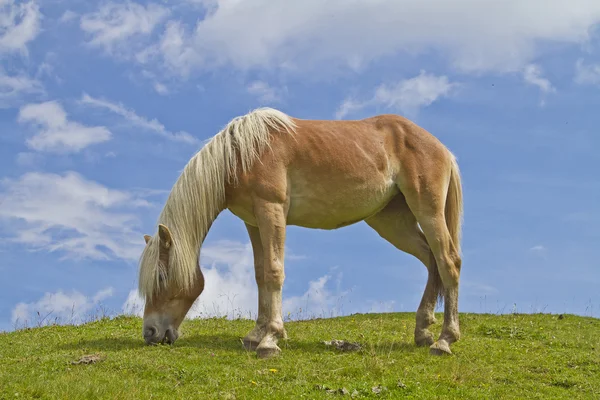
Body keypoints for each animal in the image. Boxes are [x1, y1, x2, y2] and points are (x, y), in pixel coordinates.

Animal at [137, 105, 464, 356]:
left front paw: (270, 340)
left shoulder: (272, 211)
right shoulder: (253, 222)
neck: (242, 153)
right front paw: (256, 335)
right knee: (432, 260)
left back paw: (444, 341)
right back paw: (422, 331)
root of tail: (443, 149)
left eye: (162, 277)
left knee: (448, 262)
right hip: (393, 222)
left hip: (428, 212)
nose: (150, 332)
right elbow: (260, 274)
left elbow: (274, 271)